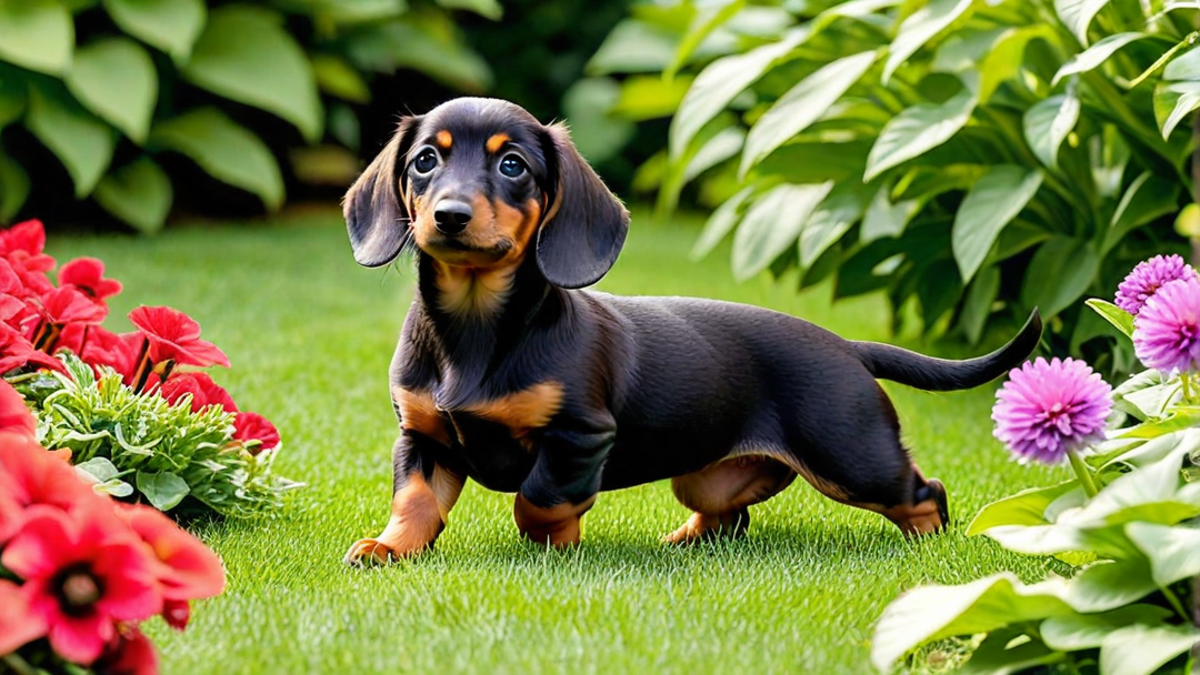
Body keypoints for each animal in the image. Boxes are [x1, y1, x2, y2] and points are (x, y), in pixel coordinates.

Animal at [340, 96, 1041, 562]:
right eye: (424, 161)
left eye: (512, 166)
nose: (450, 216)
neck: (476, 328)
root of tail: (845, 345)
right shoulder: (421, 436)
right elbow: (415, 500)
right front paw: (388, 548)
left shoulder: (579, 437)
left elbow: (538, 499)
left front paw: (555, 546)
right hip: (704, 472)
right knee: (731, 517)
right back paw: (686, 539)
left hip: (851, 455)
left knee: (923, 491)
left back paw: (927, 544)